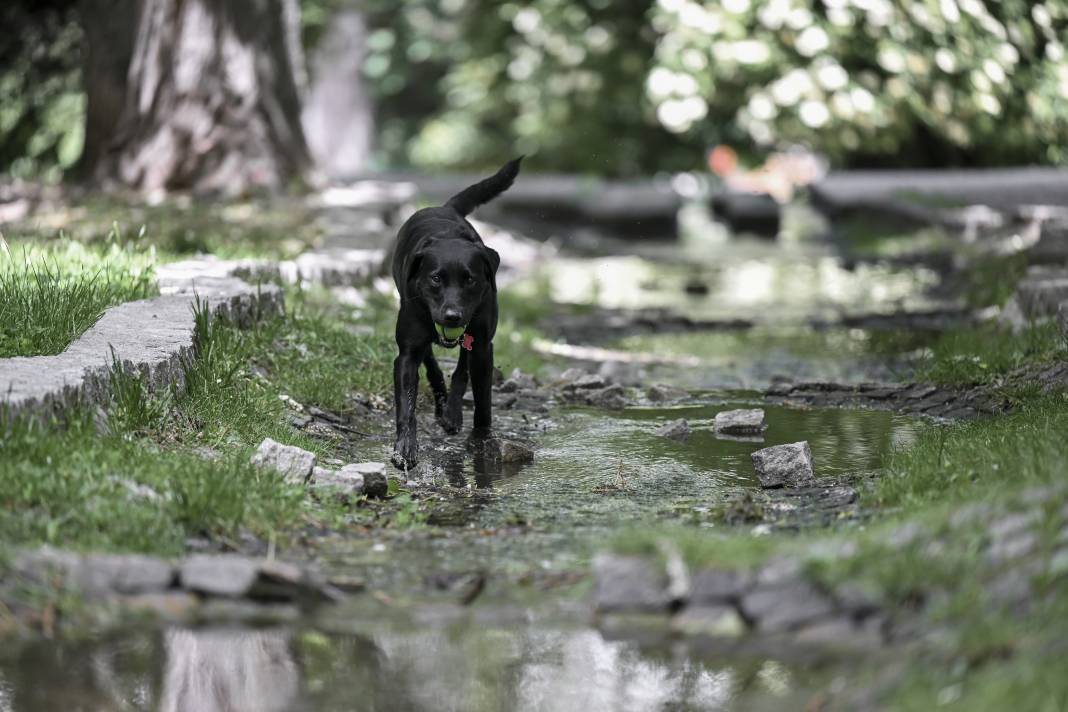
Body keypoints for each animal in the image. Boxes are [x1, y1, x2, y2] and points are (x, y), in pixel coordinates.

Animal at [393, 156, 525, 467]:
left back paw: (452, 411)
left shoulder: (482, 345)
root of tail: (446, 207)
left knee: (462, 368)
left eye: (470, 280)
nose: (452, 316)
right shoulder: (407, 353)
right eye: (435, 278)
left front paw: (482, 439)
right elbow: (406, 403)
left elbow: (483, 402)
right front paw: (405, 446)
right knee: (431, 362)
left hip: (475, 335)